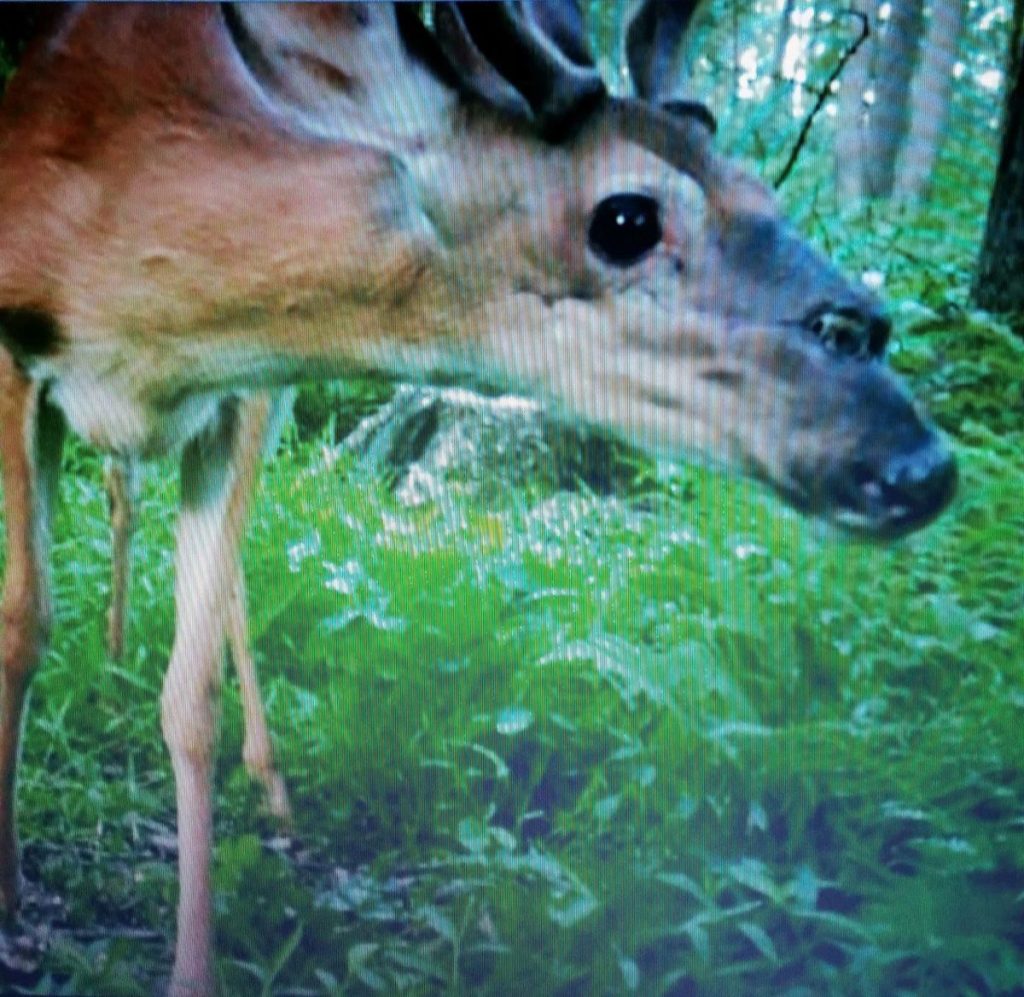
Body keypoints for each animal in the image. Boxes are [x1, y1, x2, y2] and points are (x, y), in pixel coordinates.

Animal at [0, 3, 954, 994]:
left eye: (766, 194)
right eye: (626, 217)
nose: (916, 459)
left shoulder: (240, 394)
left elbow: (192, 696)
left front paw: (195, 967)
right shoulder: (17, 353)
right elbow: (24, 624)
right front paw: (10, 893)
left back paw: (263, 776)